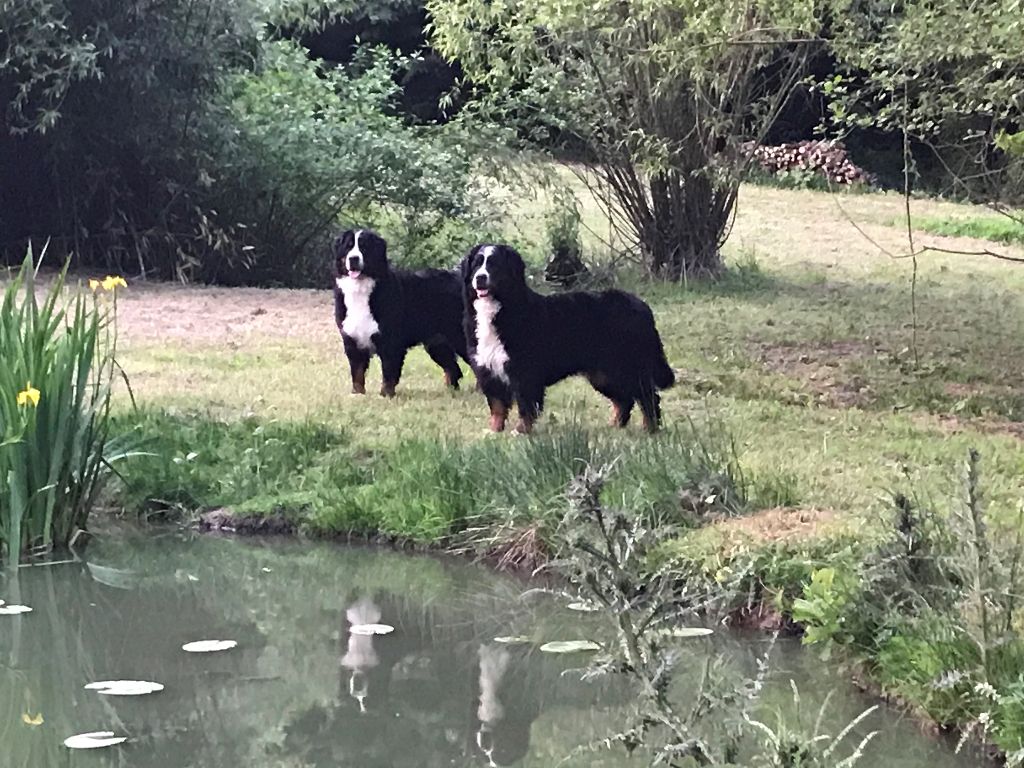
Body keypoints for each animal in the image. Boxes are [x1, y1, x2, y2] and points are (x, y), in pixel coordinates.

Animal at [331, 228, 468, 397]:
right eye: (348, 247)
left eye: (364, 247)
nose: (354, 258)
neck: (361, 290)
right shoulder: (352, 340)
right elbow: (357, 373)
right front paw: (357, 394)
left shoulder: (390, 340)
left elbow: (389, 372)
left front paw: (385, 395)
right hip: (437, 342)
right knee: (453, 368)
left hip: (460, 336)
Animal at [460, 246, 675, 438]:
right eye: (477, 264)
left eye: (494, 264)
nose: (480, 278)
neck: (499, 309)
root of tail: (642, 305)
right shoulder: (488, 371)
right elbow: (497, 406)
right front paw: (494, 431)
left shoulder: (525, 373)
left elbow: (526, 407)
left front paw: (520, 431)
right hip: (604, 374)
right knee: (624, 399)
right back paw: (614, 425)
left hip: (628, 366)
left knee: (648, 396)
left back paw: (650, 428)